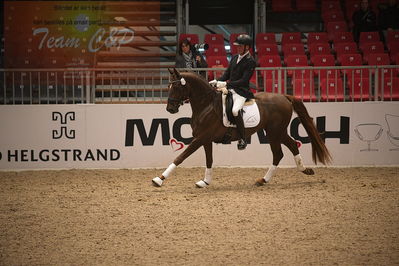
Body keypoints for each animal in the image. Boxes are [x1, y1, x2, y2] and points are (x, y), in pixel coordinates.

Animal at [152, 69, 332, 188]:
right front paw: (205, 181)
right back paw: (298, 171)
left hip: (274, 132)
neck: (206, 105)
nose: (170, 109)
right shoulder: (205, 139)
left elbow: (180, 157)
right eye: (168, 87)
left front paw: (159, 179)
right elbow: (209, 160)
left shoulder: (200, 138)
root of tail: (284, 96)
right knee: (291, 146)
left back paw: (269, 178)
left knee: (279, 153)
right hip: (276, 132)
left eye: (176, 87)